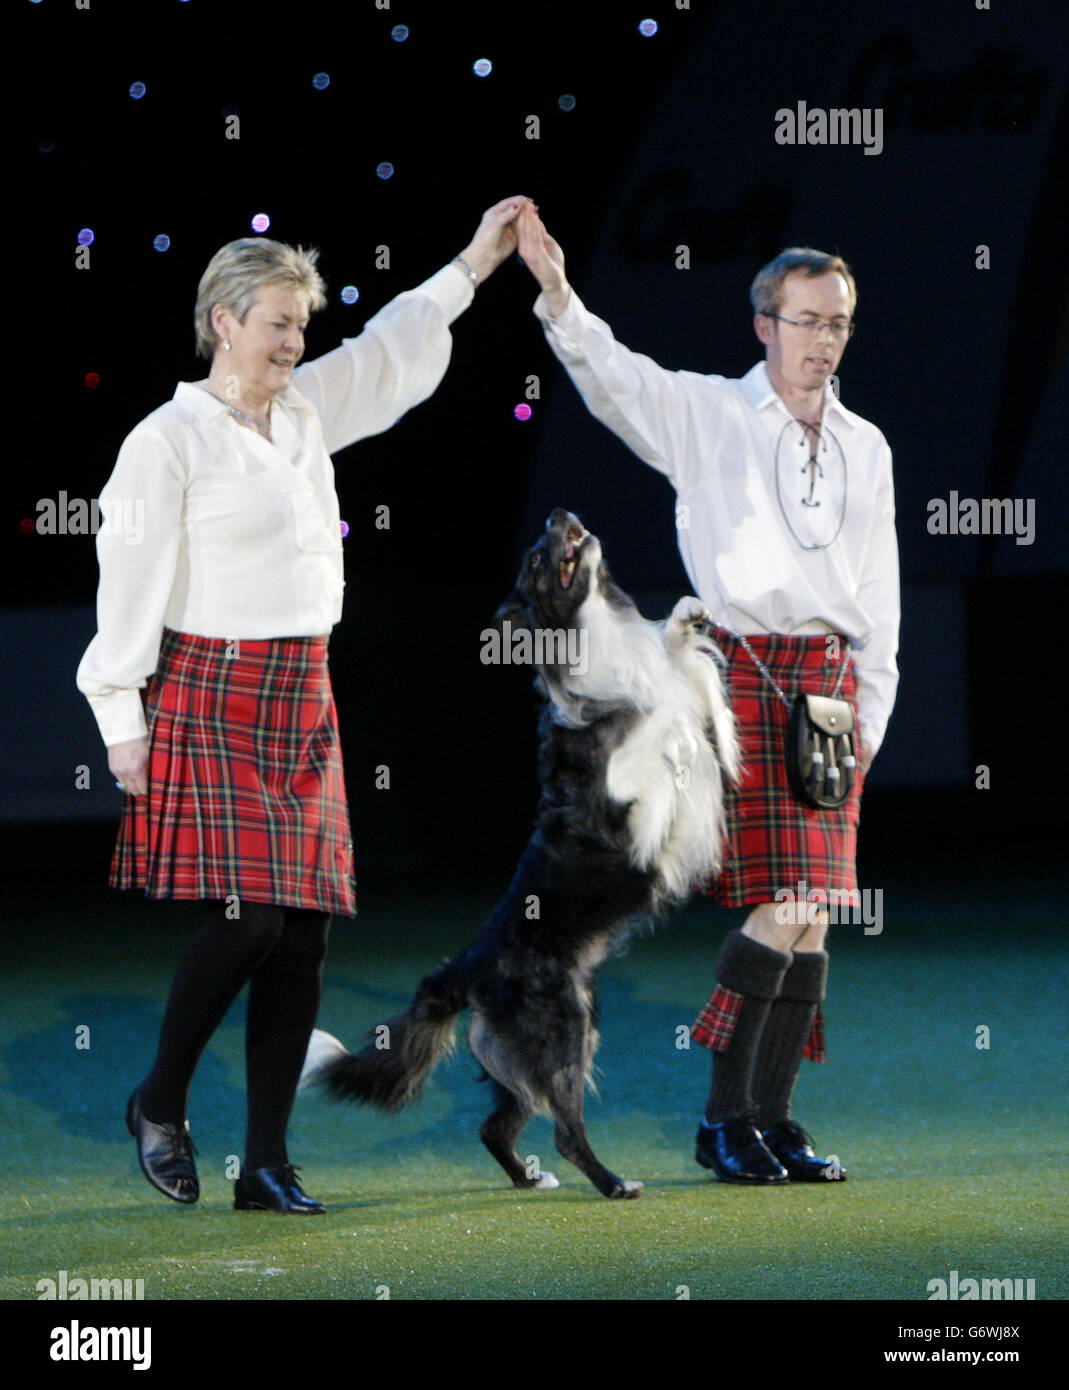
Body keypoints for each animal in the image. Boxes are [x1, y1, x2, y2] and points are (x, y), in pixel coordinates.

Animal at [300, 508, 733, 1195]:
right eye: (535, 558)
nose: (560, 515)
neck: (594, 632)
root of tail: (468, 967)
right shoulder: (624, 803)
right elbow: (652, 721)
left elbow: (684, 681)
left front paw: (686, 623)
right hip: (564, 1029)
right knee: (563, 1129)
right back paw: (614, 1183)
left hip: (536, 1042)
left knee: (495, 1126)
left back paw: (532, 1180)